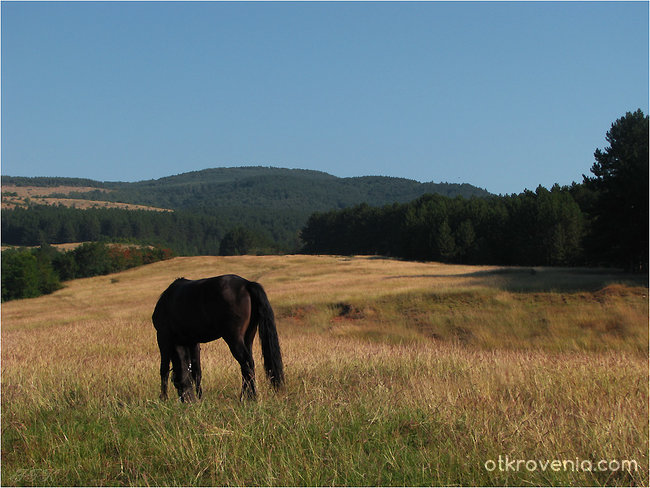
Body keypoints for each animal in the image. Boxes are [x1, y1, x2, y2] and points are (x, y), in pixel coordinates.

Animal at [152, 274, 284, 400]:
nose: (188, 400)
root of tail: (247, 284)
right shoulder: (193, 342)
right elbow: (196, 371)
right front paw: (200, 398)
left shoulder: (163, 337)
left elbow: (164, 369)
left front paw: (163, 398)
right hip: (248, 337)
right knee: (246, 366)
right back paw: (246, 397)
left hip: (234, 339)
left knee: (247, 364)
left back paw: (252, 397)